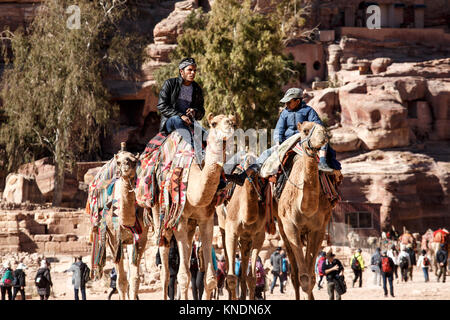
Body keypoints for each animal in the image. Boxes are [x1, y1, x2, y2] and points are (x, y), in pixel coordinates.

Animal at [149, 114, 236, 298]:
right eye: (214, 123)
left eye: (232, 122)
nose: (229, 128)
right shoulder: (179, 219)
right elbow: (182, 277)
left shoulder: (206, 218)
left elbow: (210, 279)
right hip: (159, 214)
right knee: (165, 270)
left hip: (190, 225)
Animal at [274, 120, 338, 300]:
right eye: (305, 130)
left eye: (323, 128)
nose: (323, 136)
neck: (305, 208)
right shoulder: (290, 226)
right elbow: (302, 276)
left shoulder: (318, 228)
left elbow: (311, 277)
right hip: (281, 227)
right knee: (294, 274)